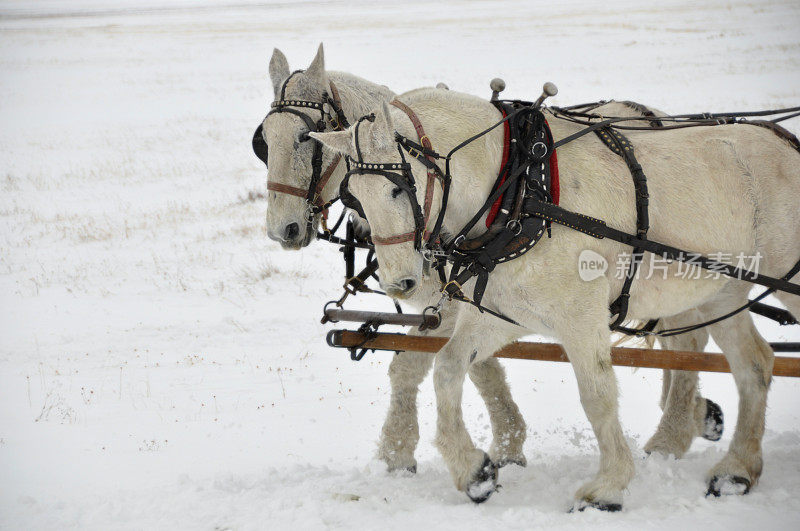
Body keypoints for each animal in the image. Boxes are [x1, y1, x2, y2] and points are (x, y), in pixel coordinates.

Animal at [312, 89, 800, 510]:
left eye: (399, 188)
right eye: (354, 197)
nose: (400, 284)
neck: (521, 192)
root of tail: (787, 142)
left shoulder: (582, 316)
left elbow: (597, 395)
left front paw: (608, 487)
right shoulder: (504, 313)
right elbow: (448, 368)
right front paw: (474, 472)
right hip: (721, 292)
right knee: (754, 364)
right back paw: (736, 471)